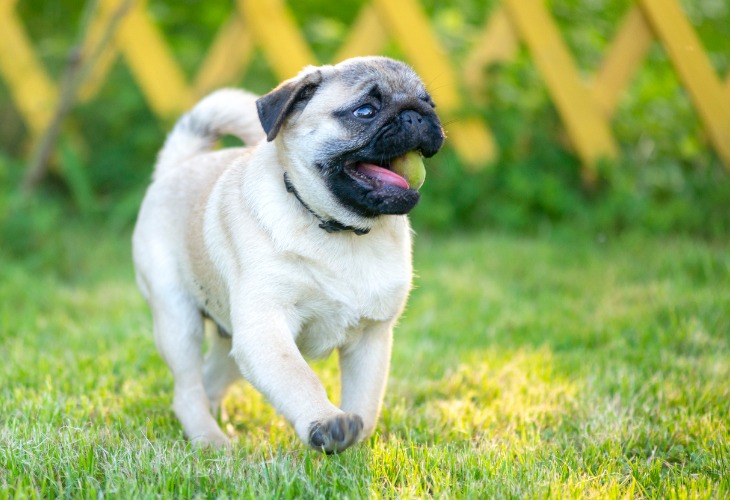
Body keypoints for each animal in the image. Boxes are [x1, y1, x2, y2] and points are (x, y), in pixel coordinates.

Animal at [134, 56, 446, 456]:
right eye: (365, 111)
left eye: (429, 103)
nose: (416, 115)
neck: (341, 230)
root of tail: (175, 167)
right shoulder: (266, 330)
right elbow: (298, 378)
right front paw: (327, 423)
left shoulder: (371, 339)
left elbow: (366, 402)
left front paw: (357, 449)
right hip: (178, 318)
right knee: (187, 388)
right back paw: (210, 439)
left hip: (232, 340)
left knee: (210, 378)